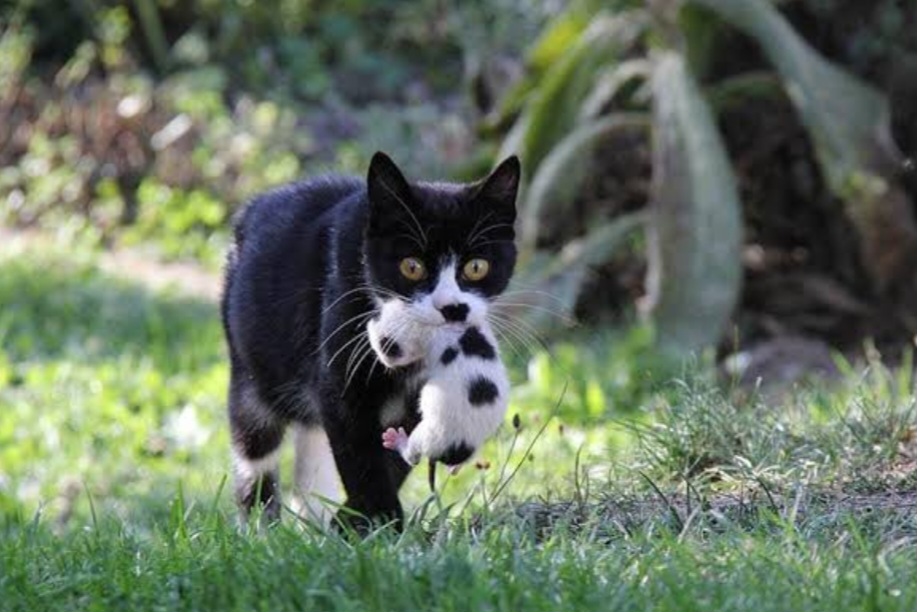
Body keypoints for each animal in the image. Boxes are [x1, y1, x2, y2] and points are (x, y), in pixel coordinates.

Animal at [221, 149, 520, 532]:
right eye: (411, 266)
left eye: (476, 267)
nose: (451, 307)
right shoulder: (341, 370)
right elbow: (359, 452)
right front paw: (380, 522)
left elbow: (395, 455)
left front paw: (352, 523)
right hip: (250, 371)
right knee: (255, 450)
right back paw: (261, 529)